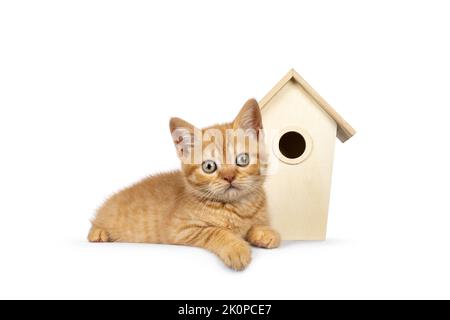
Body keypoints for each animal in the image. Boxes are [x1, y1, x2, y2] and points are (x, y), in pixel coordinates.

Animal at [87, 98, 282, 270]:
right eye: (209, 166)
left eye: (242, 160)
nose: (229, 177)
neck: (235, 208)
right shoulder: (181, 229)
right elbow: (216, 231)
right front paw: (236, 248)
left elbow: (254, 226)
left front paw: (265, 232)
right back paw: (98, 233)